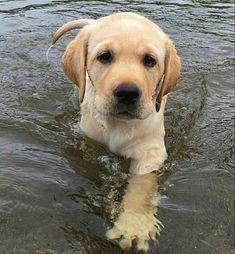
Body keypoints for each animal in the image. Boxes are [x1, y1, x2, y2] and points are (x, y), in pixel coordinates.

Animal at [51, 11, 180, 250]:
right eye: (105, 57)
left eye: (150, 60)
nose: (127, 92)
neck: (118, 125)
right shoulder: (86, 138)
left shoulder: (151, 153)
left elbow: (142, 187)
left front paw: (134, 224)